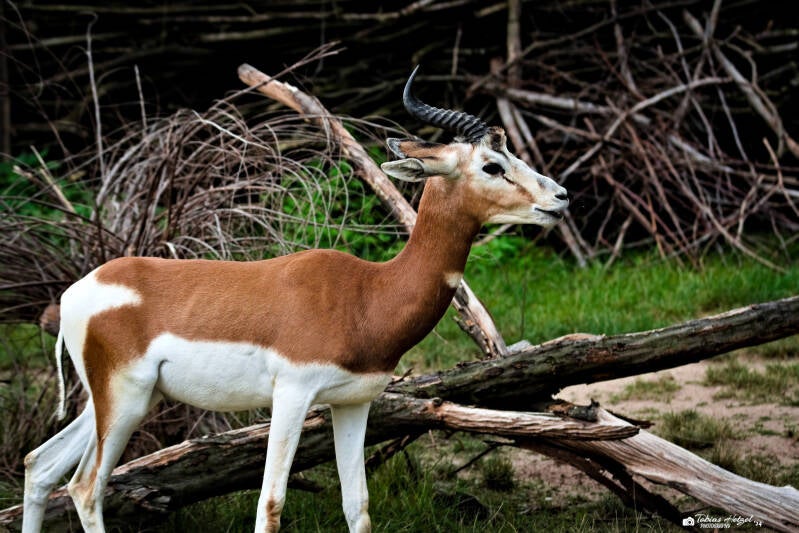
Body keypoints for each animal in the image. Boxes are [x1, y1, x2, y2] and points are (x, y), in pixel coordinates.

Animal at [21, 66, 569, 533]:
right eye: (492, 164)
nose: (560, 197)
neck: (367, 295)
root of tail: (76, 292)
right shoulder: (291, 395)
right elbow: (271, 504)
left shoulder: (353, 404)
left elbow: (358, 505)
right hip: (125, 399)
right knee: (86, 487)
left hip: (121, 398)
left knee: (39, 465)